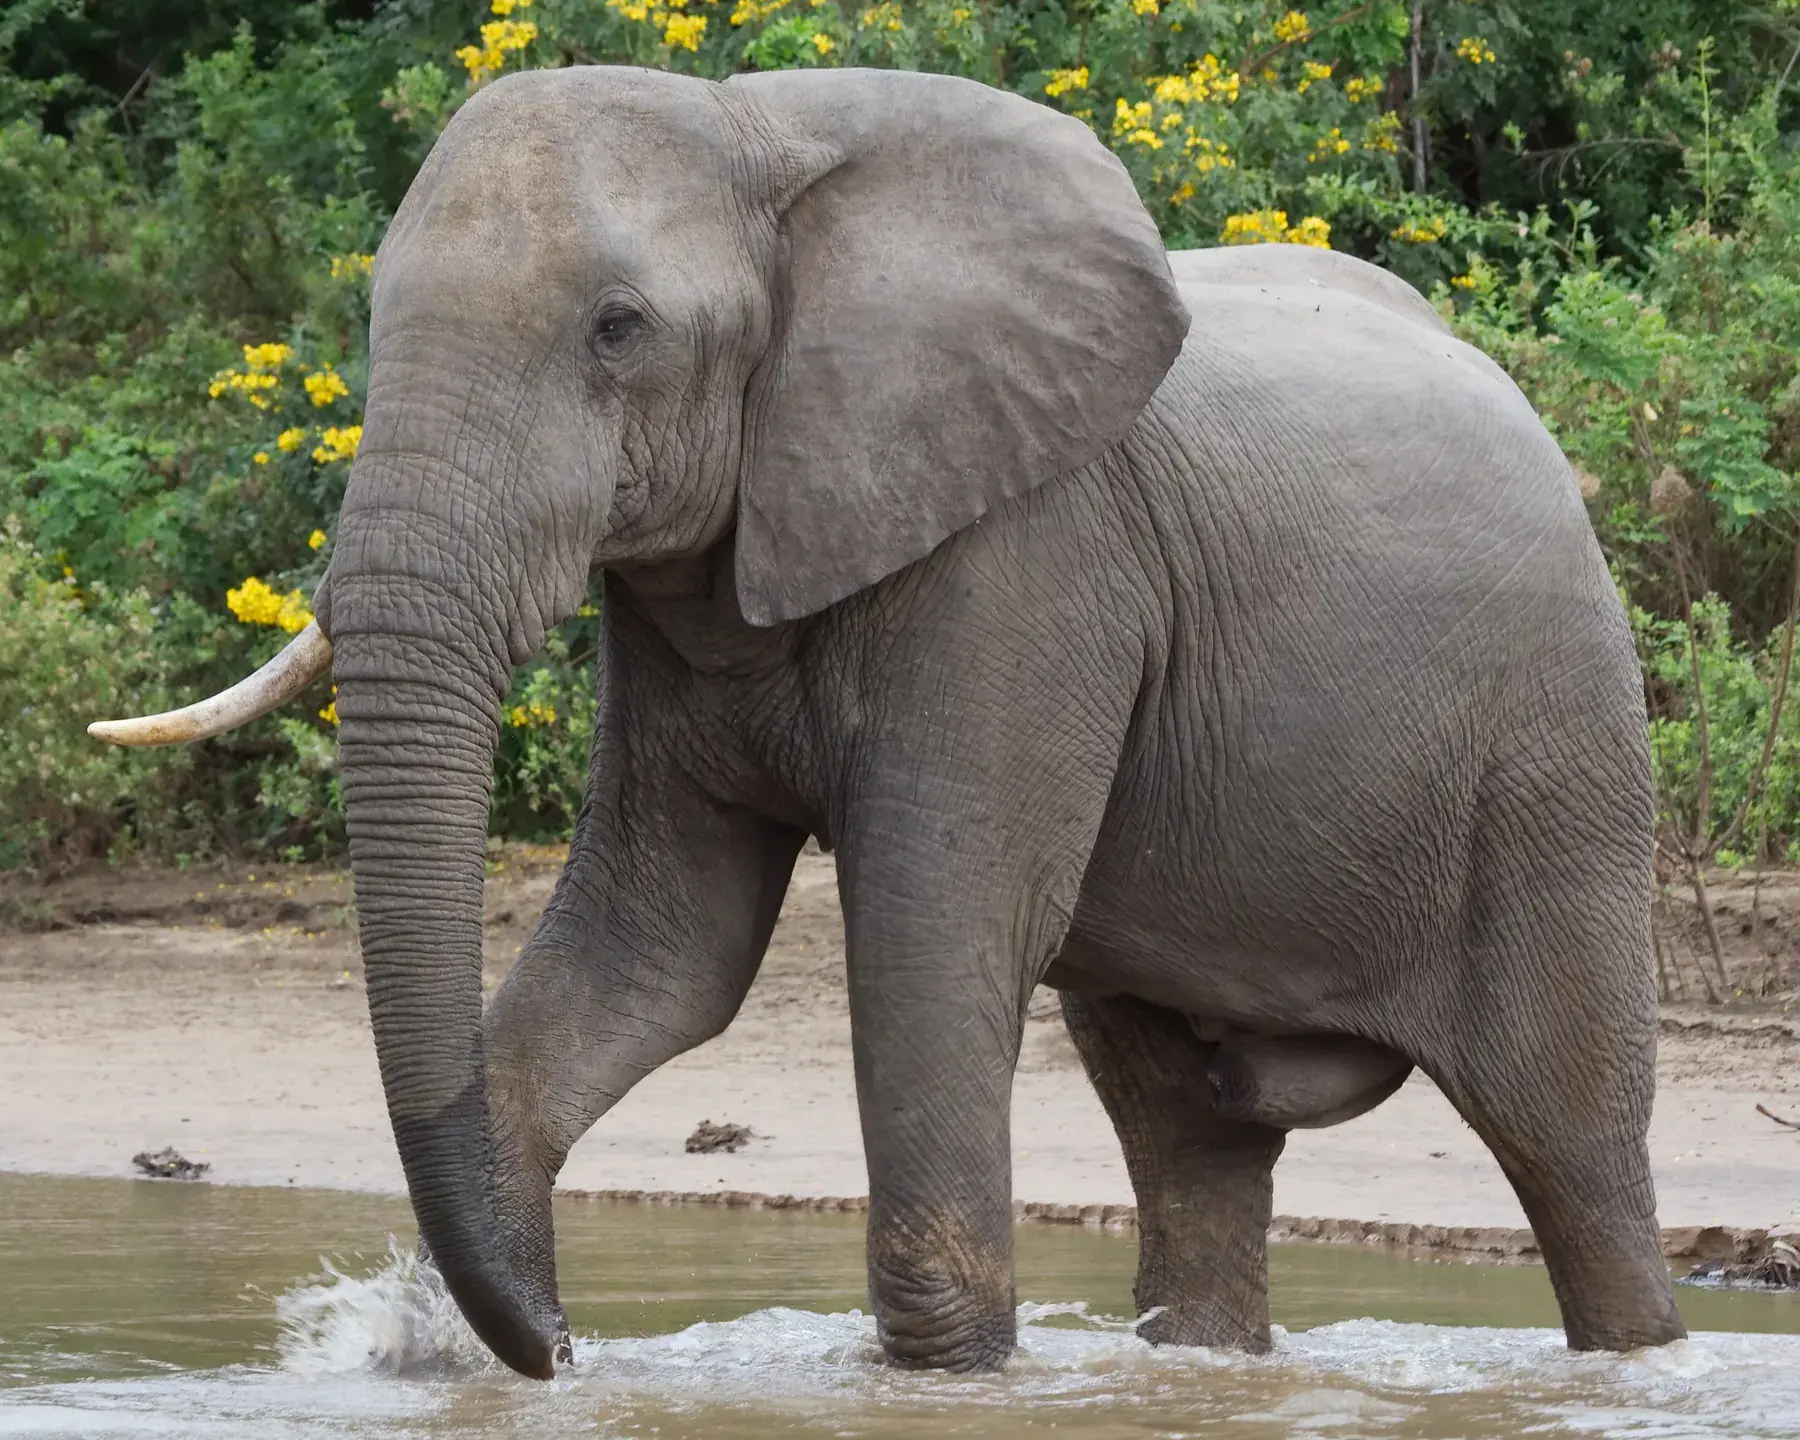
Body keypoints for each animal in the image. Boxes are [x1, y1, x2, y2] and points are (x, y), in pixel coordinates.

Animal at [92, 64, 1687, 1379]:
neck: (757, 137)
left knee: (1567, 1138)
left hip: (1556, 756)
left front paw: (943, 1374)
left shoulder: (1026, 556)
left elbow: (935, 926)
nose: (558, 1349)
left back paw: (1636, 1352)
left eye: (617, 330)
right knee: (1191, 1133)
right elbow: (662, 949)